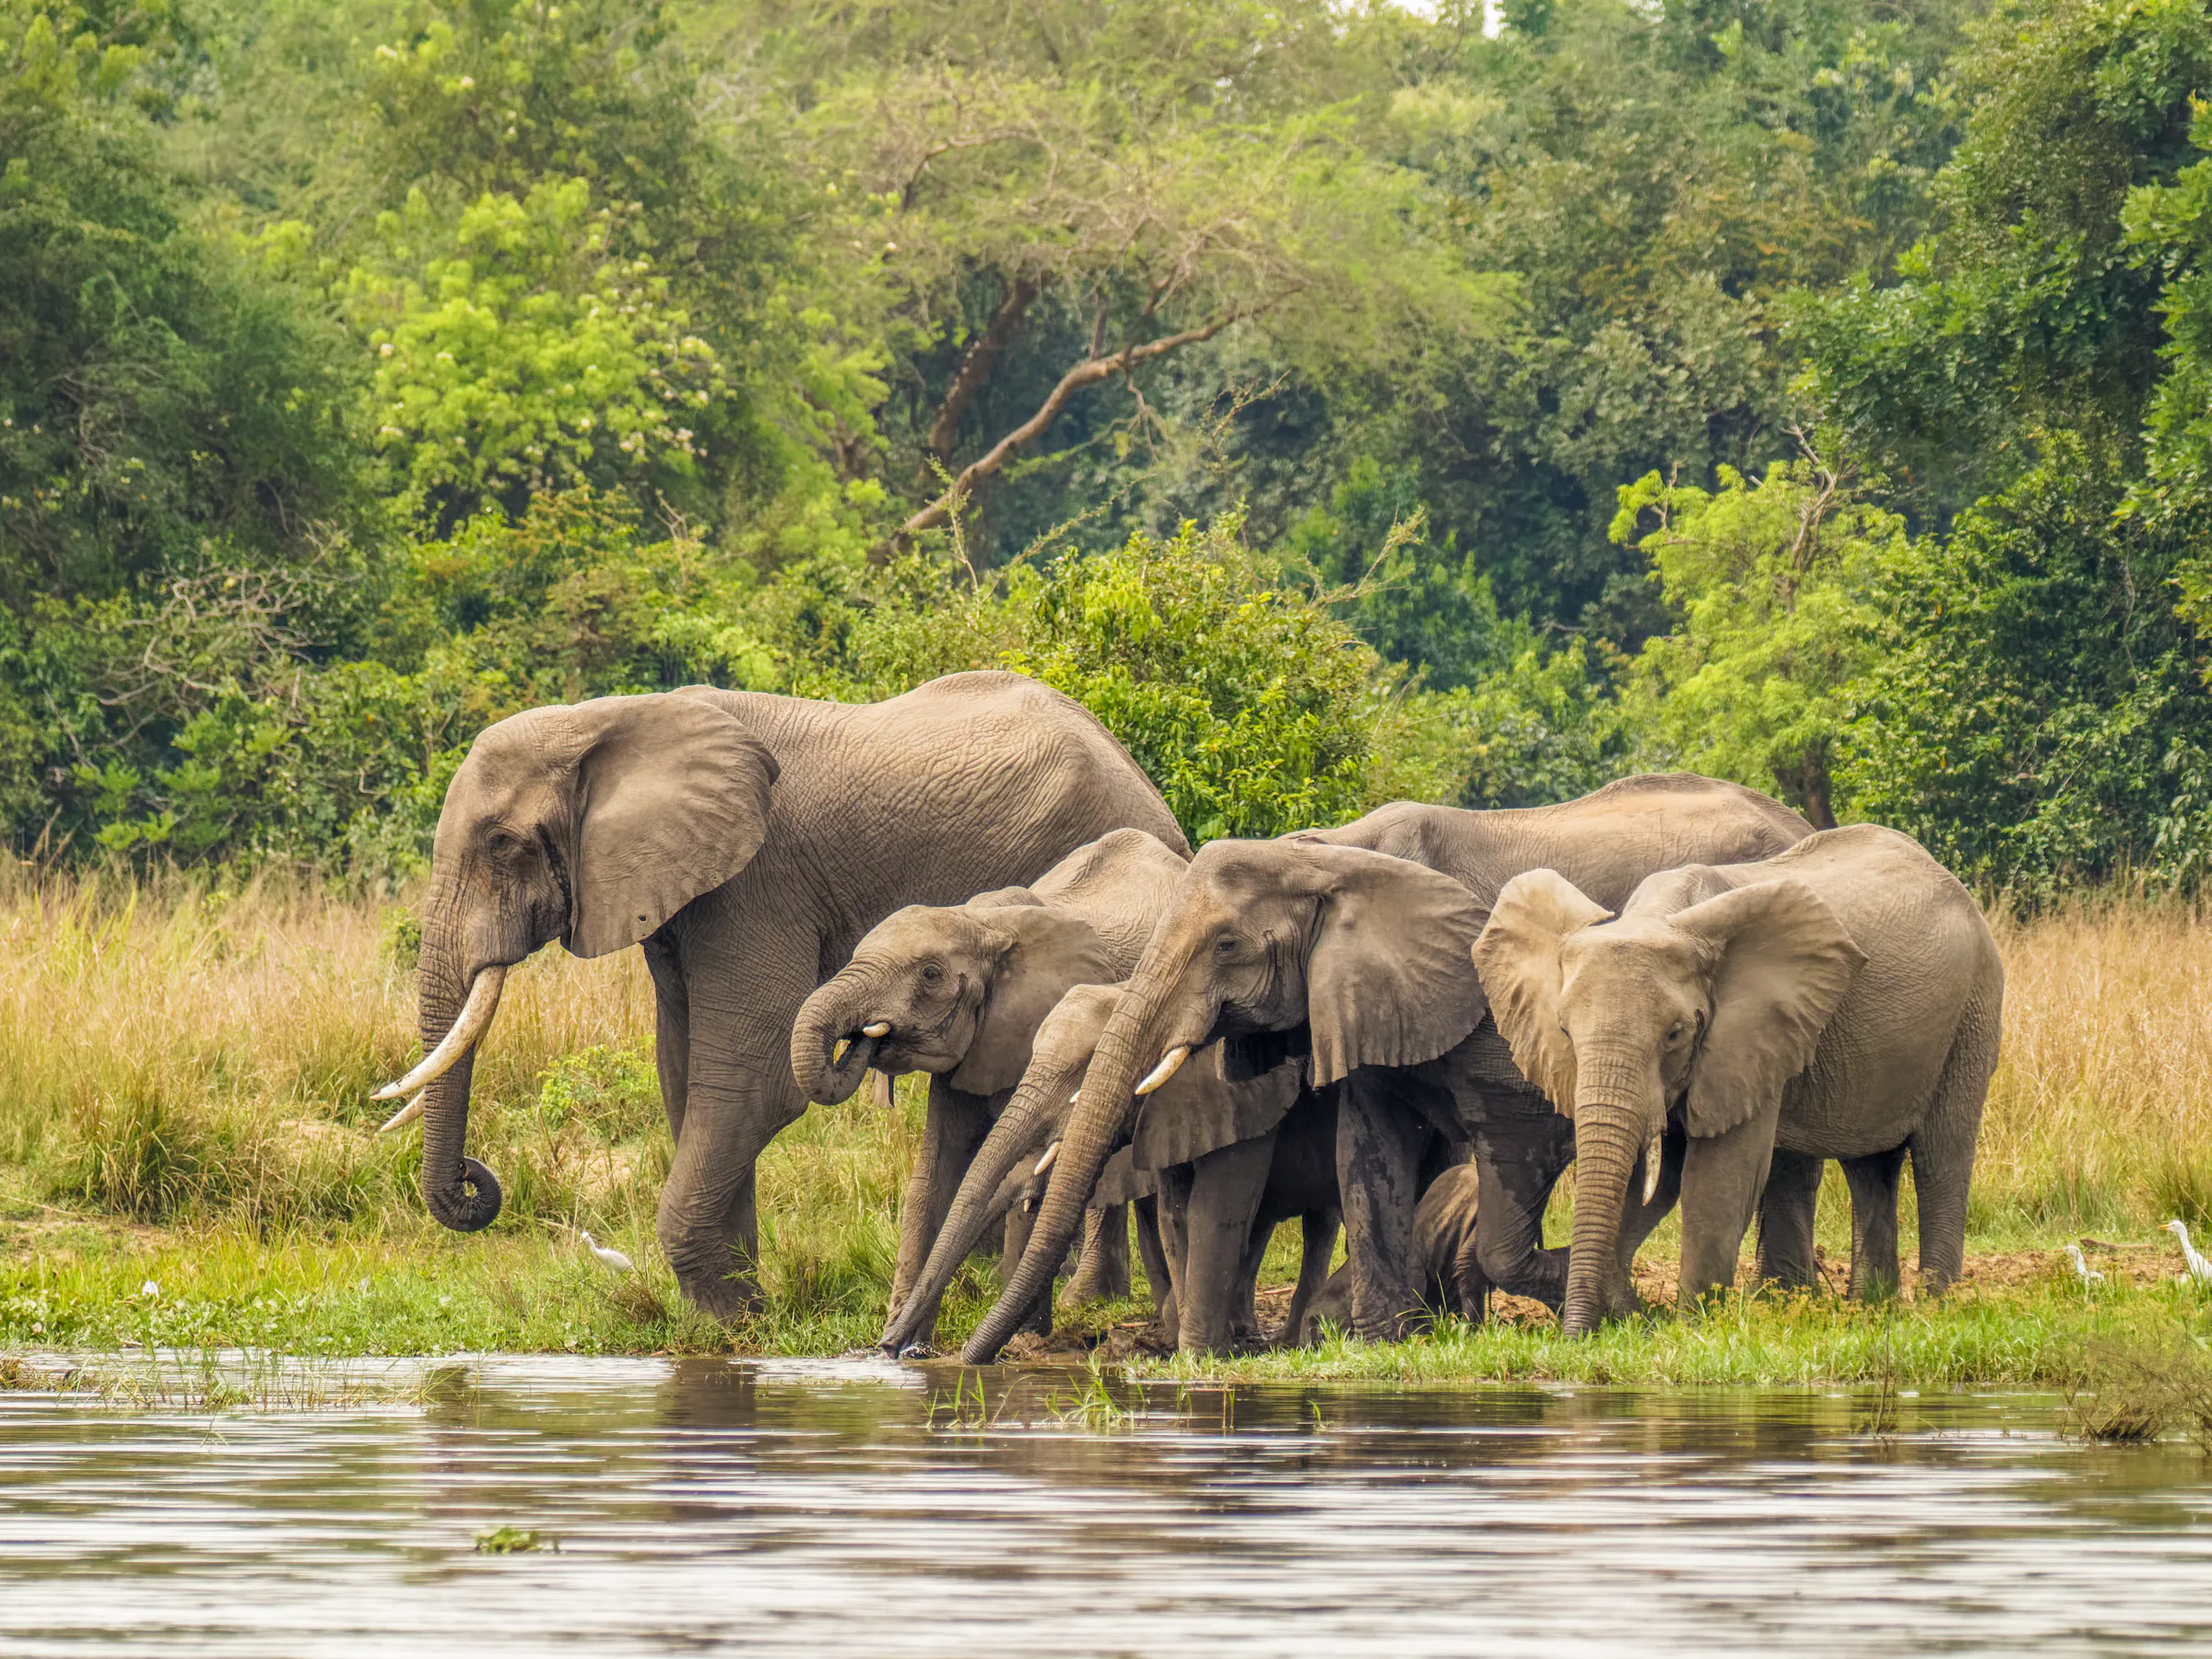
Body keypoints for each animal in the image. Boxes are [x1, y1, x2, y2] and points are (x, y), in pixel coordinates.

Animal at [789, 827, 1187, 1332]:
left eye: (931, 974)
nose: (864, 1038)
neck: (982, 923)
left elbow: (1020, 1169)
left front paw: (1025, 1337)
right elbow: (934, 1173)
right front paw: (903, 1340)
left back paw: (1085, 1301)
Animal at [958, 774, 1813, 1360]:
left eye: (1226, 946)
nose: (957, 1360)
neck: (1328, 855)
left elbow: (1510, 1141)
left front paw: (1592, 1299)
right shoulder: (1365, 999)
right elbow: (1367, 1148)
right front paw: (1385, 1337)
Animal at [1475, 822, 2004, 1336]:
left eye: (1675, 1034)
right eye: (1565, 1030)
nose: (1576, 1337)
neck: (1663, 916)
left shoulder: (1750, 1032)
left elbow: (1718, 1176)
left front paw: (1693, 1330)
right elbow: (1638, 1177)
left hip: (1974, 1009)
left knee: (1940, 1156)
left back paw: (1938, 1306)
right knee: (1870, 1166)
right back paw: (1871, 1310)